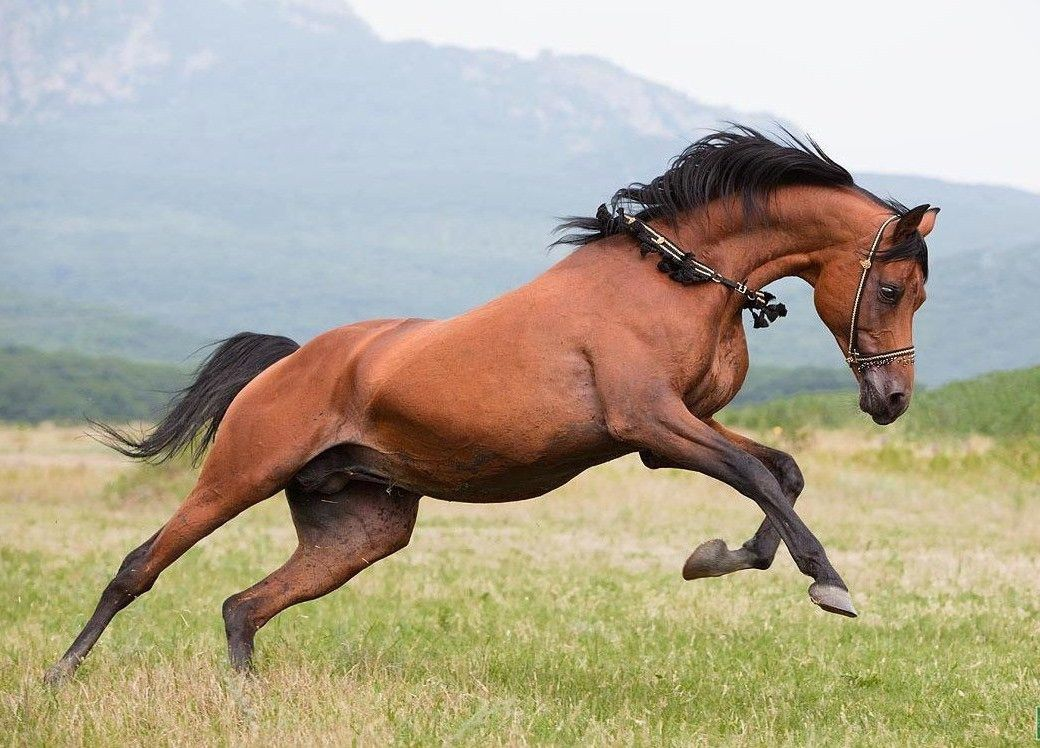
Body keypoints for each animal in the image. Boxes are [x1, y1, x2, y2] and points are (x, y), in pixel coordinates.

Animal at [44, 129, 940, 686]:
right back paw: (60, 674)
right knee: (139, 569)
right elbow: (760, 477)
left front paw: (720, 556)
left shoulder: (676, 431)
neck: (677, 281)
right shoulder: (652, 424)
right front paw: (827, 583)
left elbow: (782, 473)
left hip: (361, 529)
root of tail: (289, 363)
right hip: (237, 478)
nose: (891, 399)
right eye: (892, 290)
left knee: (243, 607)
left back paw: (243, 702)